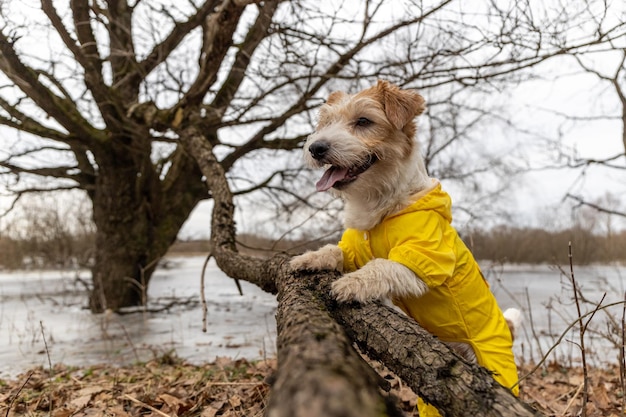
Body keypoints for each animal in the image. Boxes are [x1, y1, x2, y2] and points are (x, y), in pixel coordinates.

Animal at [290, 79, 520, 414]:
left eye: (363, 121)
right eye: (326, 123)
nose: (315, 148)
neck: (383, 206)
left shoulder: (423, 260)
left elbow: (381, 265)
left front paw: (351, 284)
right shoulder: (354, 249)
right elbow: (335, 250)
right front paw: (309, 258)